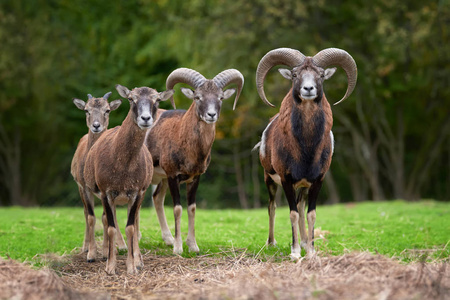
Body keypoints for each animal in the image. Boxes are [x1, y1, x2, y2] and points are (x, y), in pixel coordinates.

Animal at [70, 92, 125, 262]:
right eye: (86, 110)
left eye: (107, 110)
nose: (96, 125)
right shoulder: (85, 187)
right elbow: (91, 217)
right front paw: (91, 254)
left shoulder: (105, 190)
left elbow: (106, 218)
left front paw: (107, 252)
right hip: (79, 187)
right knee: (85, 212)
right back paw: (85, 246)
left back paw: (122, 246)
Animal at [82, 84, 174, 274]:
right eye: (131, 98)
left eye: (157, 99)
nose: (145, 118)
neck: (123, 166)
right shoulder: (106, 193)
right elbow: (111, 227)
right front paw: (110, 267)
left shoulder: (137, 193)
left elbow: (131, 228)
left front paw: (132, 266)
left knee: (136, 223)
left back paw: (138, 260)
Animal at [146, 67, 244, 253]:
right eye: (198, 97)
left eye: (220, 97)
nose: (211, 115)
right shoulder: (173, 176)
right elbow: (178, 209)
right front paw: (178, 248)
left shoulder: (195, 178)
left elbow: (191, 208)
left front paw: (193, 246)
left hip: (160, 180)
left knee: (156, 199)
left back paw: (167, 239)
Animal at [255, 47, 356, 258]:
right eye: (295, 75)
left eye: (321, 75)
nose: (308, 89)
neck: (306, 148)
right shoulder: (286, 180)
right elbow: (292, 213)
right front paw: (294, 253)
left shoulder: (317, 181)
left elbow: (310, 214)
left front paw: (310, 251)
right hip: (269, 180)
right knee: (272, 207)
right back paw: (272, 243)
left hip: (302, 187)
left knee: (301, 207)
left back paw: (303, 243)